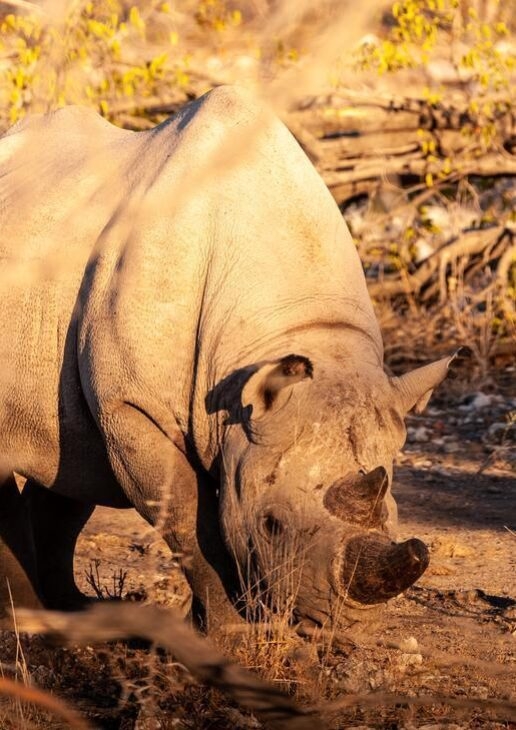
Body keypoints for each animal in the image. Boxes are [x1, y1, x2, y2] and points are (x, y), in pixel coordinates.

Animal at [0, 86, 459, 630]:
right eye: (271, 525)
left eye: (392, 512)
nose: (333, 621)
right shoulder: (132, 405)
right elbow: (186, 515)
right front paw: (233, 632)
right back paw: (27, 617)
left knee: (72, 460)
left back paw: (72, 611)